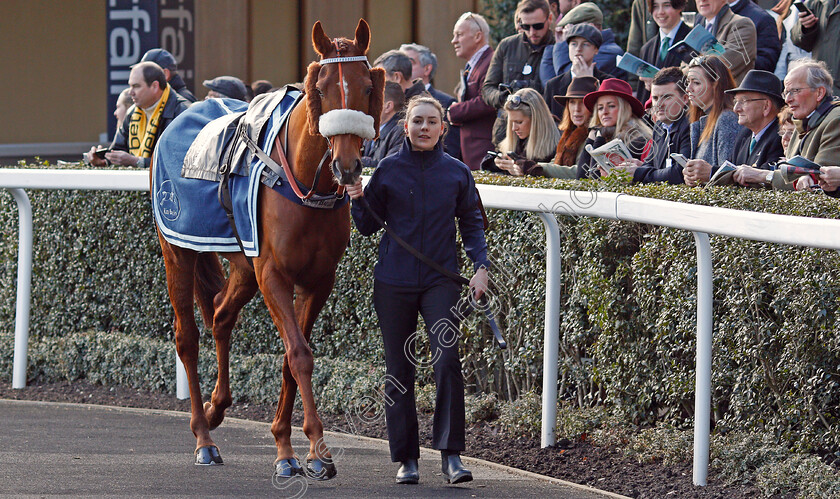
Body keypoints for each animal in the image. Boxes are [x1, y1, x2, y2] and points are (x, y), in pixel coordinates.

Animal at [154, 20, 384, 480]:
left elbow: (291, 358)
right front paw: (309, 450)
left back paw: (217, 407)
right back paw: (203, 437)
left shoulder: (317, 280)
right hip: (178, 250)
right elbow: (299, 354)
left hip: (244, 266)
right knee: (187, 336)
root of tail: (182, 114)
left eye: (368, 86)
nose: (348, 165)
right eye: (322, 88)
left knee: (221, 315)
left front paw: (292, 446)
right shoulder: (274, 275)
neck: (304, 183)